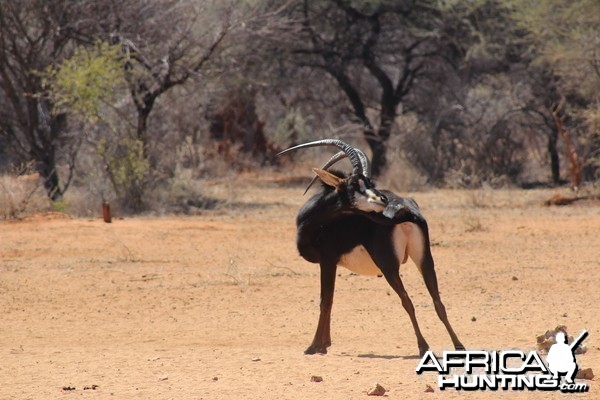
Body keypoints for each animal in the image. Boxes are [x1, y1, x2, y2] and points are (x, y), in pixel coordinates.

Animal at [278, 140, 466, 356]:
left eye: (369, 183)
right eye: (353, 184)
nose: (382, 199)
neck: (315, 220)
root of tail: (407, 211)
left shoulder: (327, 261)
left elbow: (325, 300)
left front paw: (315, 346)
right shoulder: (332, 264)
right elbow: (330, 300)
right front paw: (325, 343)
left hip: (388, 266)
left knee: (407, 301)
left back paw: (423, 346)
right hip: (425, 260)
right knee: (438, 302)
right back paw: (458, 346)